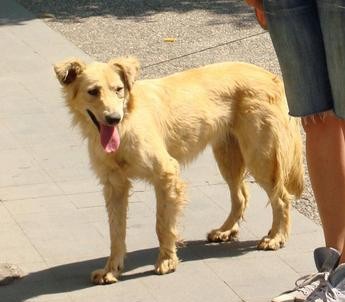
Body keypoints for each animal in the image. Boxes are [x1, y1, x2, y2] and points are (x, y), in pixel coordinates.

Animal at [53, 57, 300, 286]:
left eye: (118, 89)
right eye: (93, 91)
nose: (114, 118)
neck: (127, 123)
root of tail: (271, 76)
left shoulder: (166, 174)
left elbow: (162, 224)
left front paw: (167, 261)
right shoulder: (114, 185)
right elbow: (116, 233)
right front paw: (112, 269)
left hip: (260, 157)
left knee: (281, 198)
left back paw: (276, 237)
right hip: (227, 156)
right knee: (241, 196)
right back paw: (225, 231)